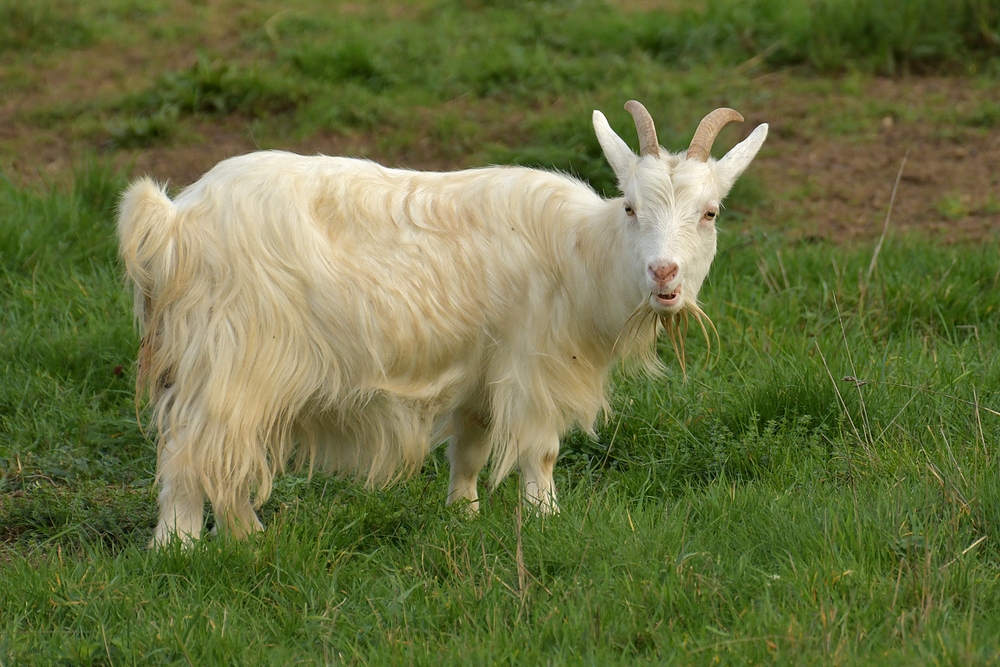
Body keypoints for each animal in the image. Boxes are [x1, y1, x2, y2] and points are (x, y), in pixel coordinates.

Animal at [119, 100, 764, 548]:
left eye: (710, 213)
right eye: (630, 206)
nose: (664, 273)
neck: (582, 251)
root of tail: (172, 221)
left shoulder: (482, 370)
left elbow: (471, 449)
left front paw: (464, 515)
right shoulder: (534, 364)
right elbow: (541, 451)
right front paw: (546, 519)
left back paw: (245, 535)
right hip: (231, 358)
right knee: (191, 454)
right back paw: (187, 548)